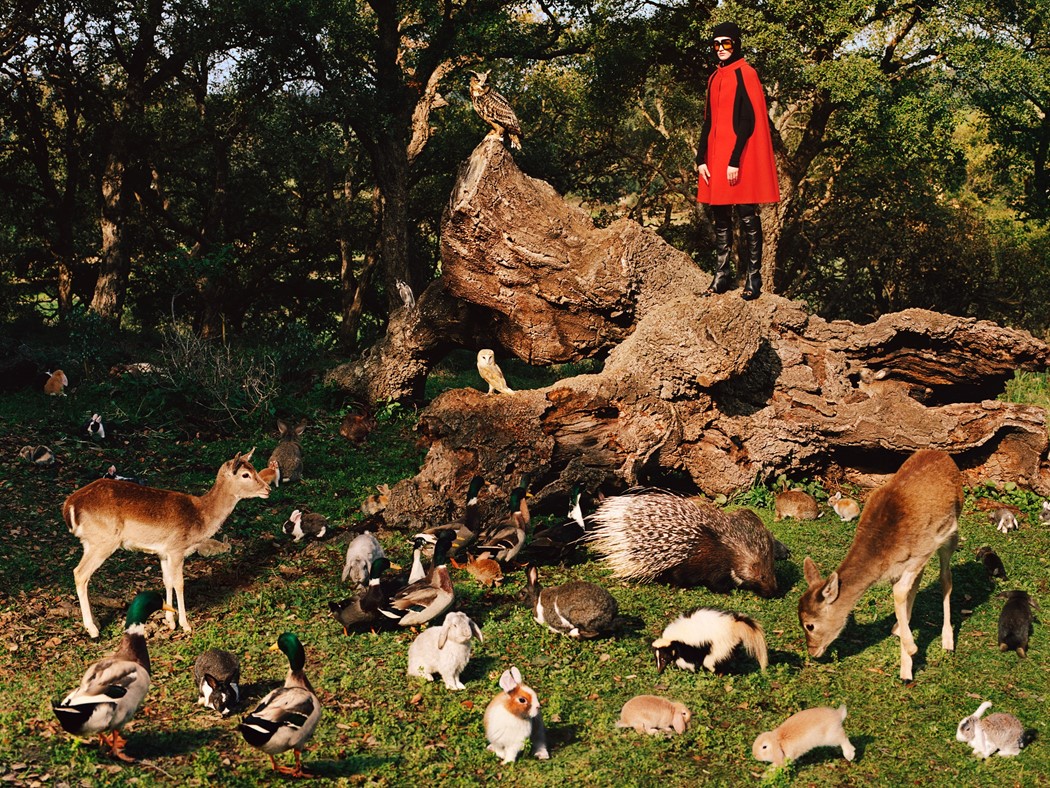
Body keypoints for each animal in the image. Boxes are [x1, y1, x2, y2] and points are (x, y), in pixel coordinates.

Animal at [63, 449, 270, 638]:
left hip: (90, 542)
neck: (201, 517)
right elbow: (179, 583)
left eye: (254, 468)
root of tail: (69, 506)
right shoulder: (177, 547)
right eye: (245, 474)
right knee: (80, 573)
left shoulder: (163, 552)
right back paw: (93, 630)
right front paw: (185, 624)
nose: (268, 489)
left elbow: (167, 580)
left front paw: (170, 621)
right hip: (103, 541)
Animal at [798, 449, 962, 682]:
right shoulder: (900, 569)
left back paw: (947, 640)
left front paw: (911, 651)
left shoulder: (921, 553)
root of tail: (943, 454)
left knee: (946, 578)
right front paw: (906, 666)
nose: (812, 651)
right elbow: (904, 595)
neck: (883, 553)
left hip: (950, 533)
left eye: (809, 625)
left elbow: (900, 593)